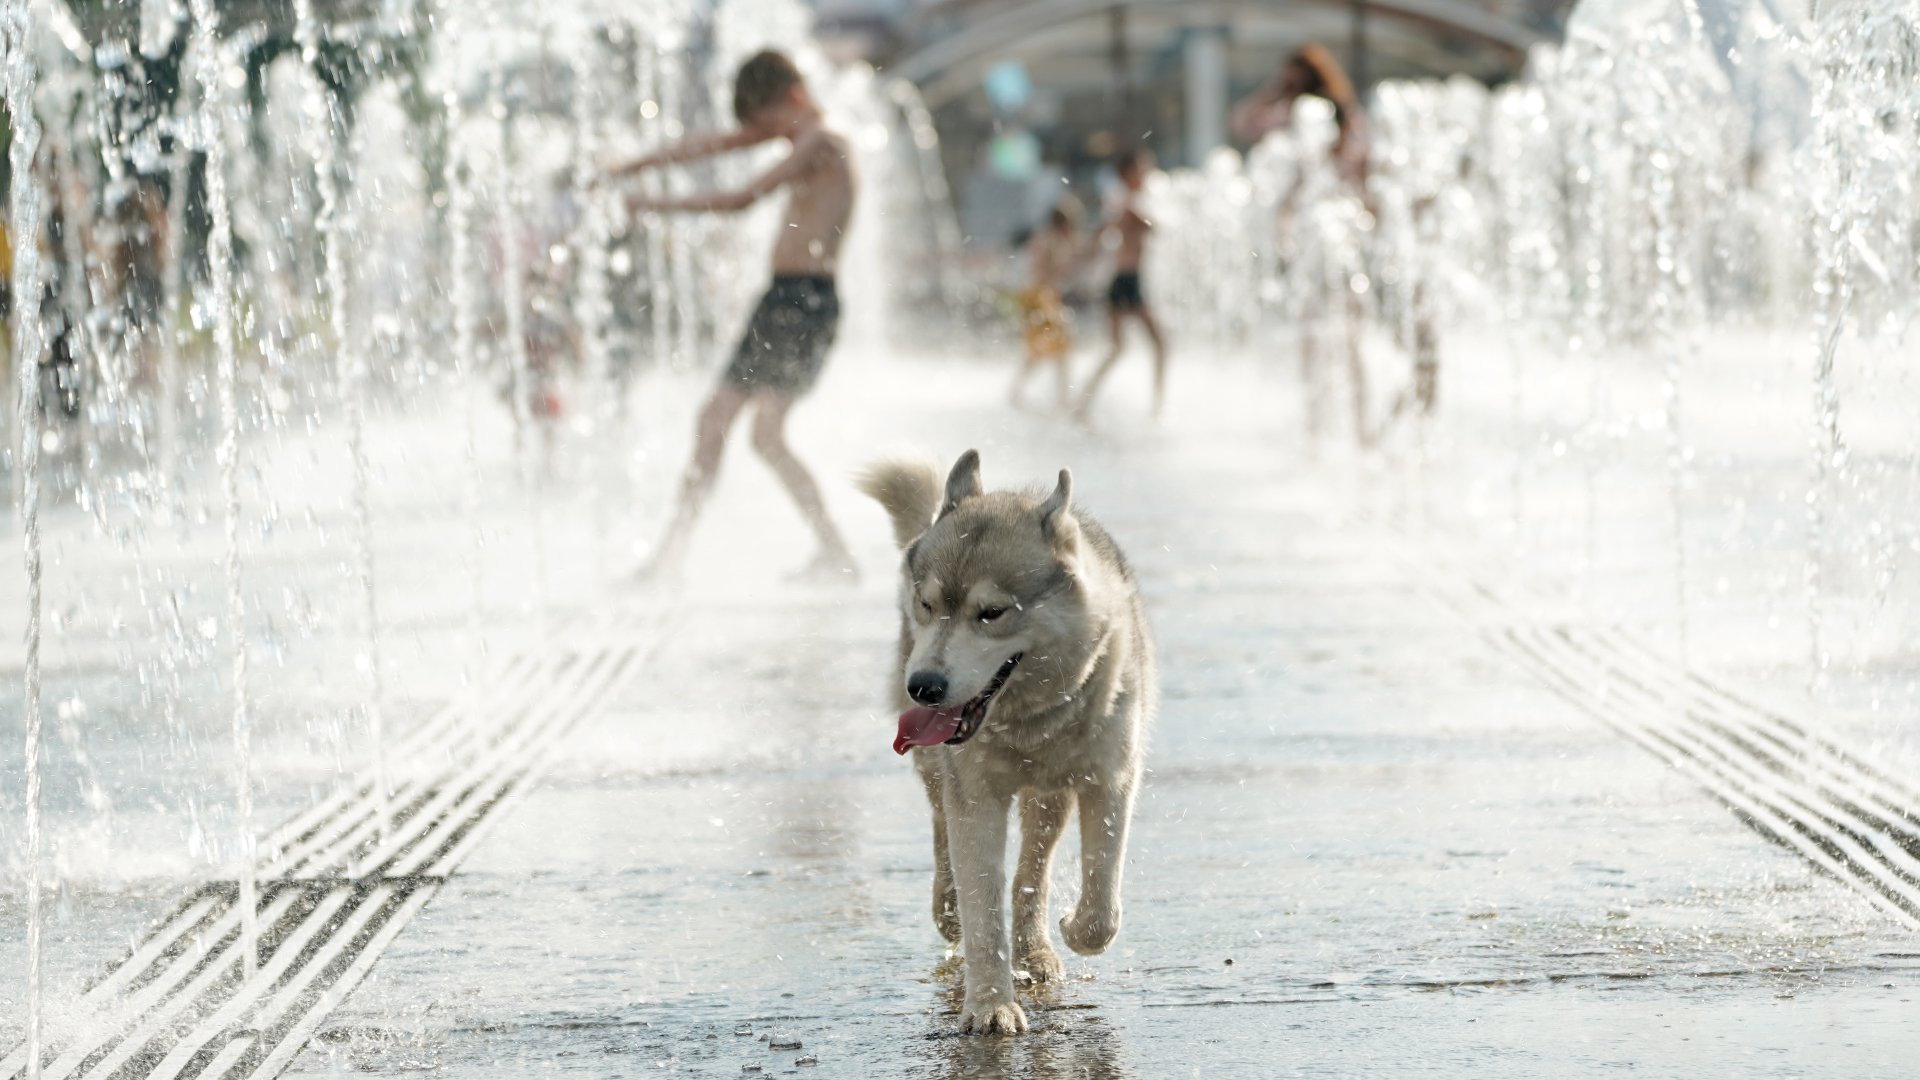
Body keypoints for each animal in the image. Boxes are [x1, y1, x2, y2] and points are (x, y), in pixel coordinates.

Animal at [860, 447, 1152, 1037]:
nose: (923, 686)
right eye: (927, 604)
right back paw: (949, 906)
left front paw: (1073, 928)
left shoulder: (1111, 781)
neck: (1030, 721)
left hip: (1050, 796)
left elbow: (1101, 903)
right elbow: (981, 909)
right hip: (940, 771)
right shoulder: (975, 797)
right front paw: (991, 1005)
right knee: (942, 831)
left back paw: (1035, 948)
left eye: (992, 612)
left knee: (1031, 874)